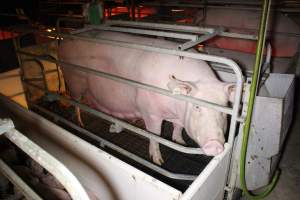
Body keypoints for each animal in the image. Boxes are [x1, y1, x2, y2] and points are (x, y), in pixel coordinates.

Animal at [58, 31, 237, 165]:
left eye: (224, 108)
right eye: (197, 106)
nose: (215, 145)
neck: (175, 109)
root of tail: (64, 40)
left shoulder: (179, 117)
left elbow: (178, 128)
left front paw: (180, 143)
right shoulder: (150, 113)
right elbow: (155, 135)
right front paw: (158, 161)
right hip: (74, 81)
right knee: (76, 103)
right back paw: (80, 124)